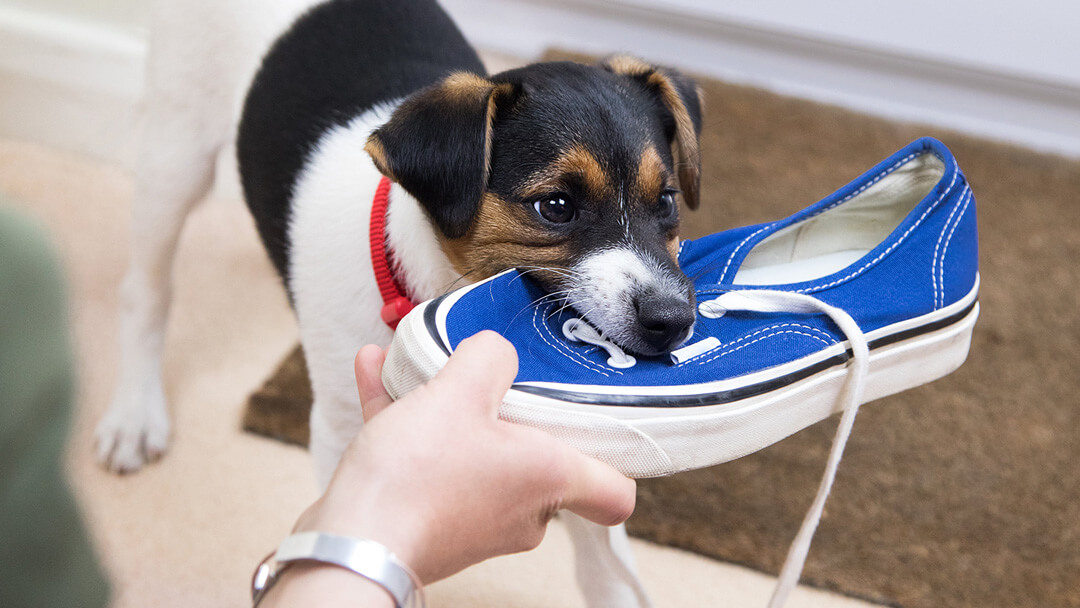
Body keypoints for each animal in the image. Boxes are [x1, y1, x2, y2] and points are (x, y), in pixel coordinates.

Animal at [97, 2, 704, 604]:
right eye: (555, 206)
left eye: (667, 201)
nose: (674, 321)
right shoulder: (344, 432)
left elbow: (604, 557)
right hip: (175, 152)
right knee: (144, 289)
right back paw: (135, 414)